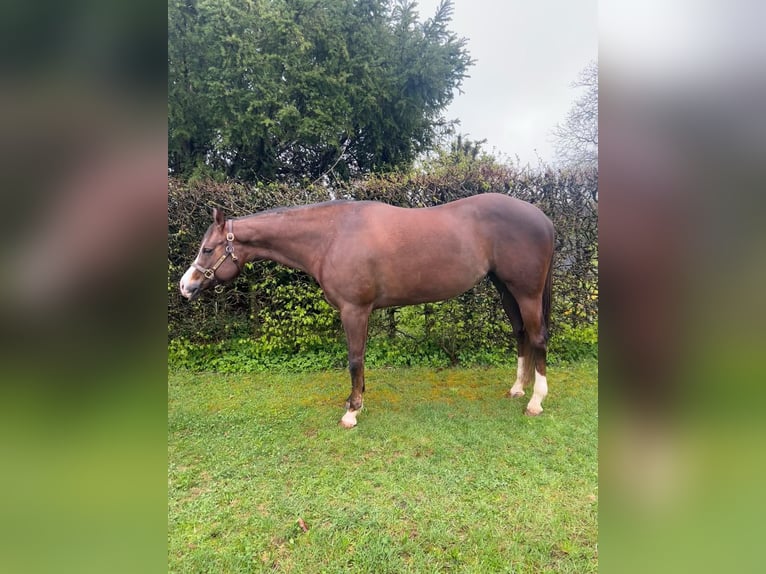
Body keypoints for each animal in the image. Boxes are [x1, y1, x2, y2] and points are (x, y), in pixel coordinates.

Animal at [179, 193, 555, 428]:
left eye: (208, 249)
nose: (185, 286)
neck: (331, 236)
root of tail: (543, 218)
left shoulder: (354, 310)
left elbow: (354, 358)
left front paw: (352, 411)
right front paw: (358, 401)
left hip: (526, 292)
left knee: (537, 336)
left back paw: (535, 401)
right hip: (505, 288)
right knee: (521, 334)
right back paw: (517, 388)